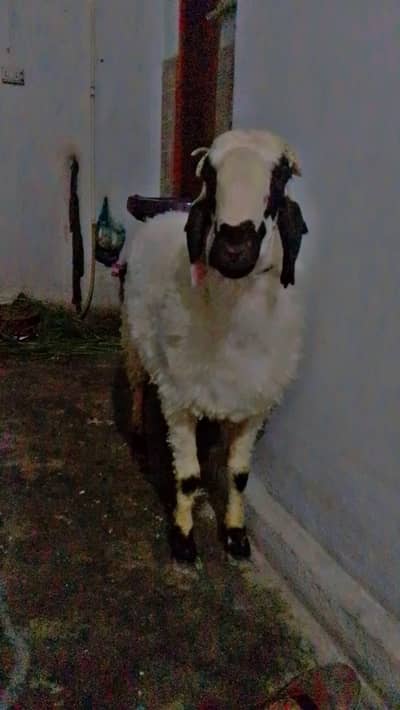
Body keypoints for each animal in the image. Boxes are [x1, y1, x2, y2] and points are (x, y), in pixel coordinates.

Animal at [122, 129, 308, 563]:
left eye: (280, 178)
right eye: (209, 174)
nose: (233, 248)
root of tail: (163, 213)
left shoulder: (253, 406)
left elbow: (238, 476)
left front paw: (237, 535)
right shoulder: (178, 400)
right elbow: (188, 478)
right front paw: (183, 539)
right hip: (132, 339)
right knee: (137, 384)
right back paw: (138, 435)